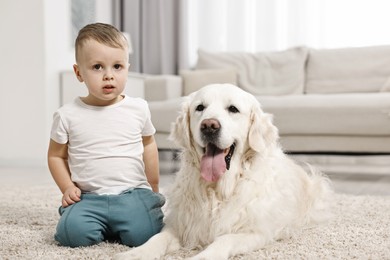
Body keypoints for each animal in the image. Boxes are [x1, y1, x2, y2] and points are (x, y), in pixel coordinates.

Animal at [115, 84, 332, 258]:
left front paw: (203, 257)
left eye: (233, 109)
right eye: (200, 108)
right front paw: (135, 253)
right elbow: (157, 239)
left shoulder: (255, 232)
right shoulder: (180, 224)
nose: (209, 126)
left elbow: (224, 239)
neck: (217, 189)